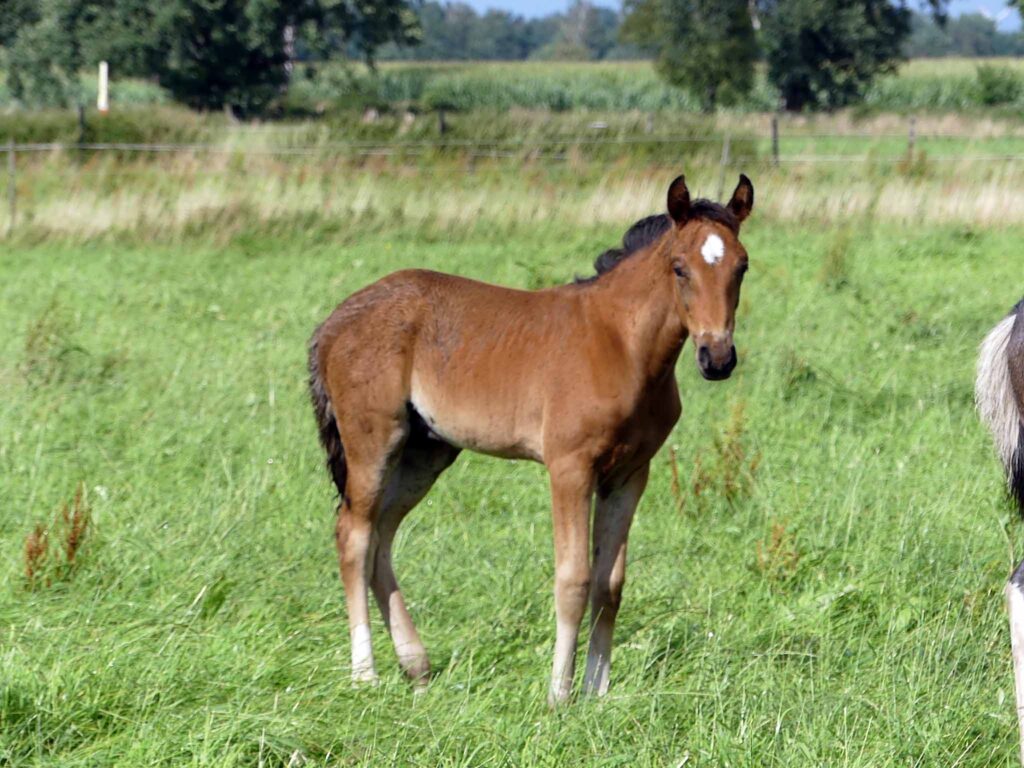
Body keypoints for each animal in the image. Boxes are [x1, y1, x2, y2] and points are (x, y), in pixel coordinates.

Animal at [309, 173, 753, 704]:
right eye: (679, 268)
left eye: (742, 266)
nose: (717, 359)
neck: (621, 343)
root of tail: (334, 321)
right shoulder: (570, 468)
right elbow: (574, 579)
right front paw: (559, 695)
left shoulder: (630, 474)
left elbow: (610, 584)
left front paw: (597, 692)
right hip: (374, 441)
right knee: (353, 535)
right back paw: (365, 674)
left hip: (426, 453)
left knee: (381, 535)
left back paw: (416, 667)